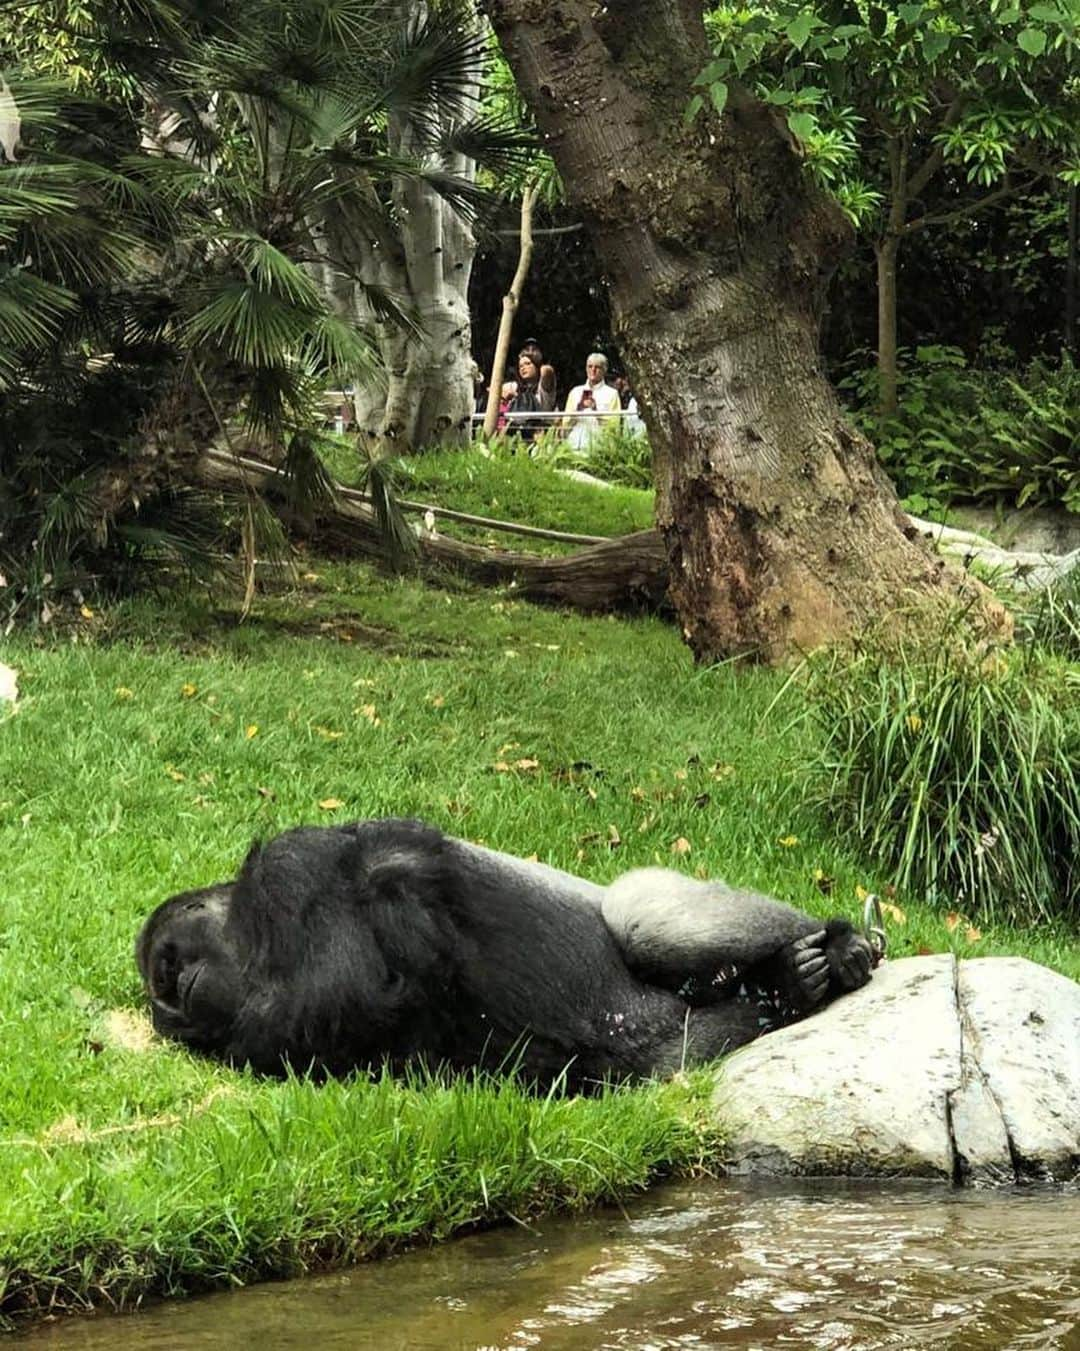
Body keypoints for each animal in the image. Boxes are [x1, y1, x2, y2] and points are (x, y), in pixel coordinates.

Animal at [137, 810, 875, 1086]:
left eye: (170, 968)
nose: (168, 1006)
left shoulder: (288, 869)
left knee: (643, 917)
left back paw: (834, 952)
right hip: (670, 1044)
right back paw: (790, 985)